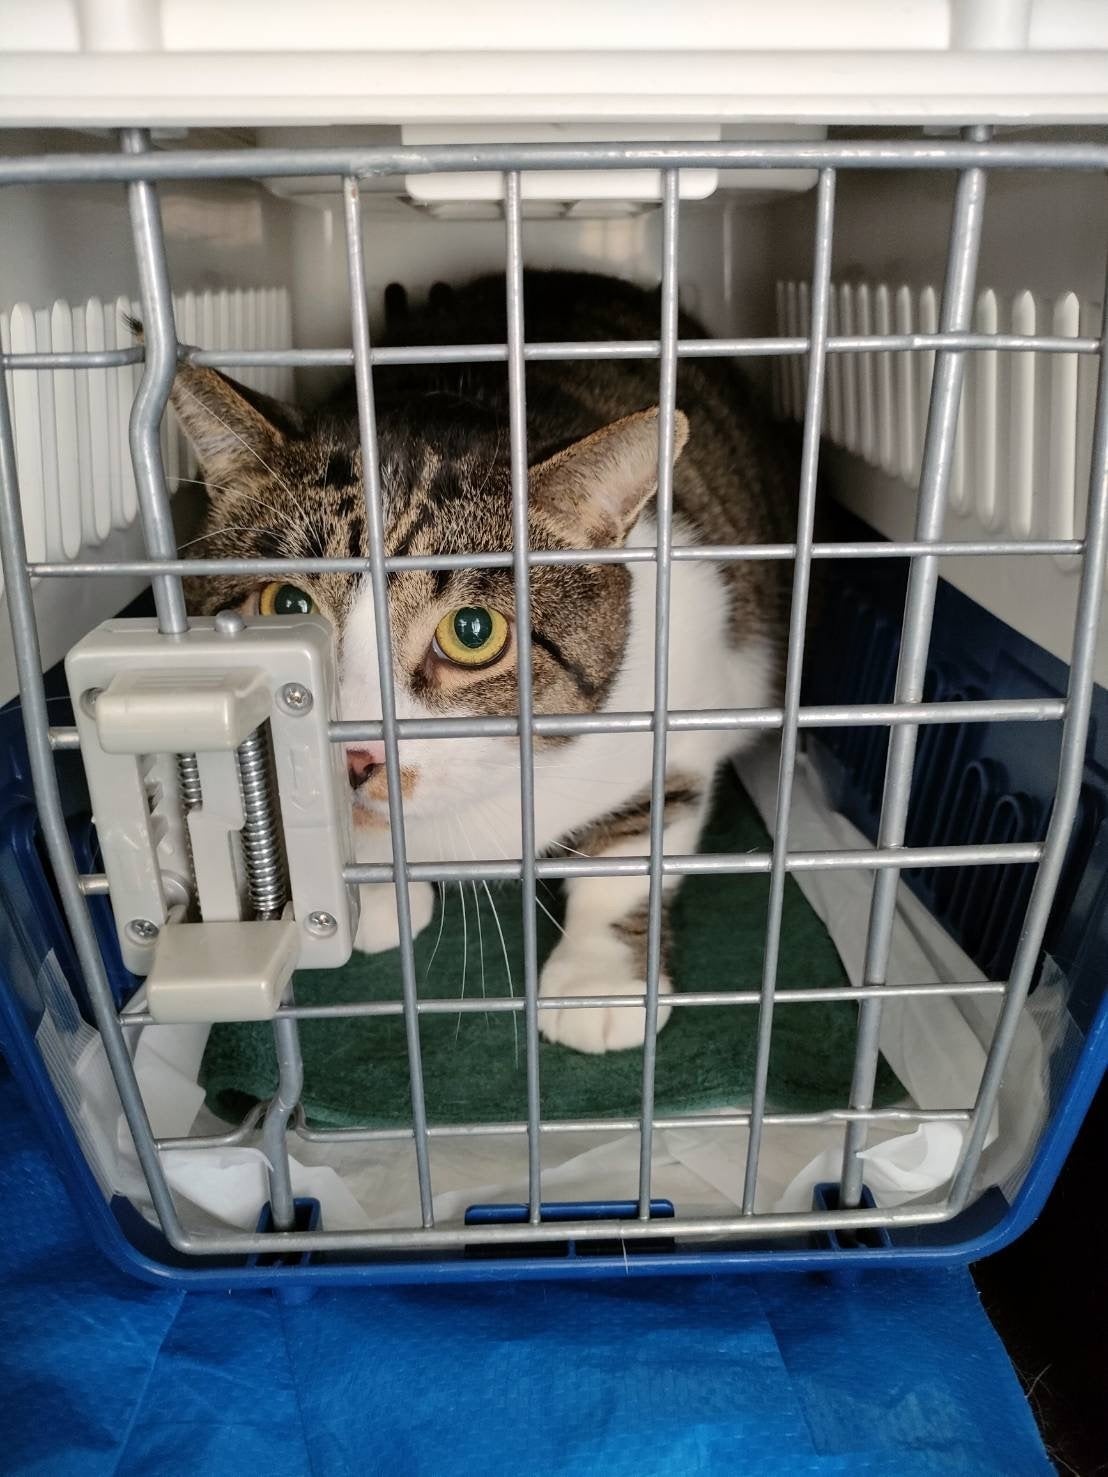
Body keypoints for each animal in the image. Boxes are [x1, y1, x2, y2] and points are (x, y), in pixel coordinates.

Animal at [170, 270, 792, 1054]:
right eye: (286, 605)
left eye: (472, 630)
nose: (352, 756)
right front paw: (372, 897)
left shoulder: (685, 690)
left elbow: (635, 843)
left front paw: (597, 981)